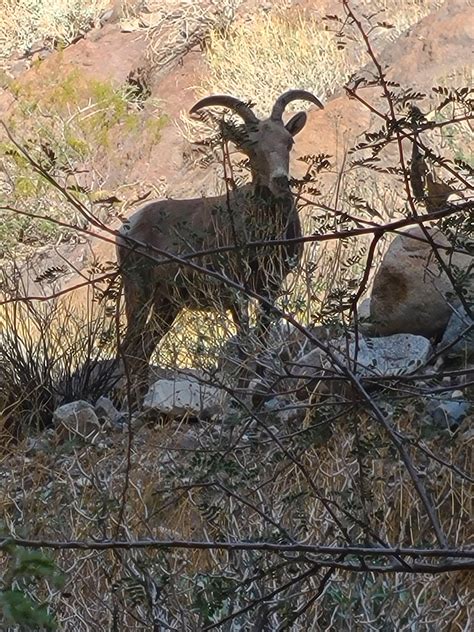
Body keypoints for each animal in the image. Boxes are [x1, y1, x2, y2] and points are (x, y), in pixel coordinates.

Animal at [115, 89, 322, 390]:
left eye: (288, 141)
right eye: (252, 146)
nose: (280, 180)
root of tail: (126, 229)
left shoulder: (269, 288)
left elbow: (261, 338)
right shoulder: (237, 291)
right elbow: (245, 342)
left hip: (167, 305)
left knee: (144, 348)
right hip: (139, 292)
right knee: (131, 348)